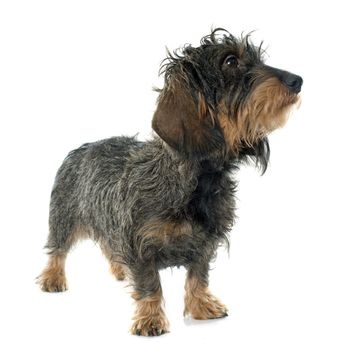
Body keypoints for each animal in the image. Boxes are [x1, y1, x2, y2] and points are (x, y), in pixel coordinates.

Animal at [37, 29, 300, 336]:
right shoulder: (139, 244)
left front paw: (201, 306)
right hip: (63, 218)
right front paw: (150, 319)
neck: (197, 183)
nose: (298, 81)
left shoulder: (205, 244)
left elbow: (198, 277)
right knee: (57, 250)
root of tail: (81, 148)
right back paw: (53, 277)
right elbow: (150, 284)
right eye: (230, 61)